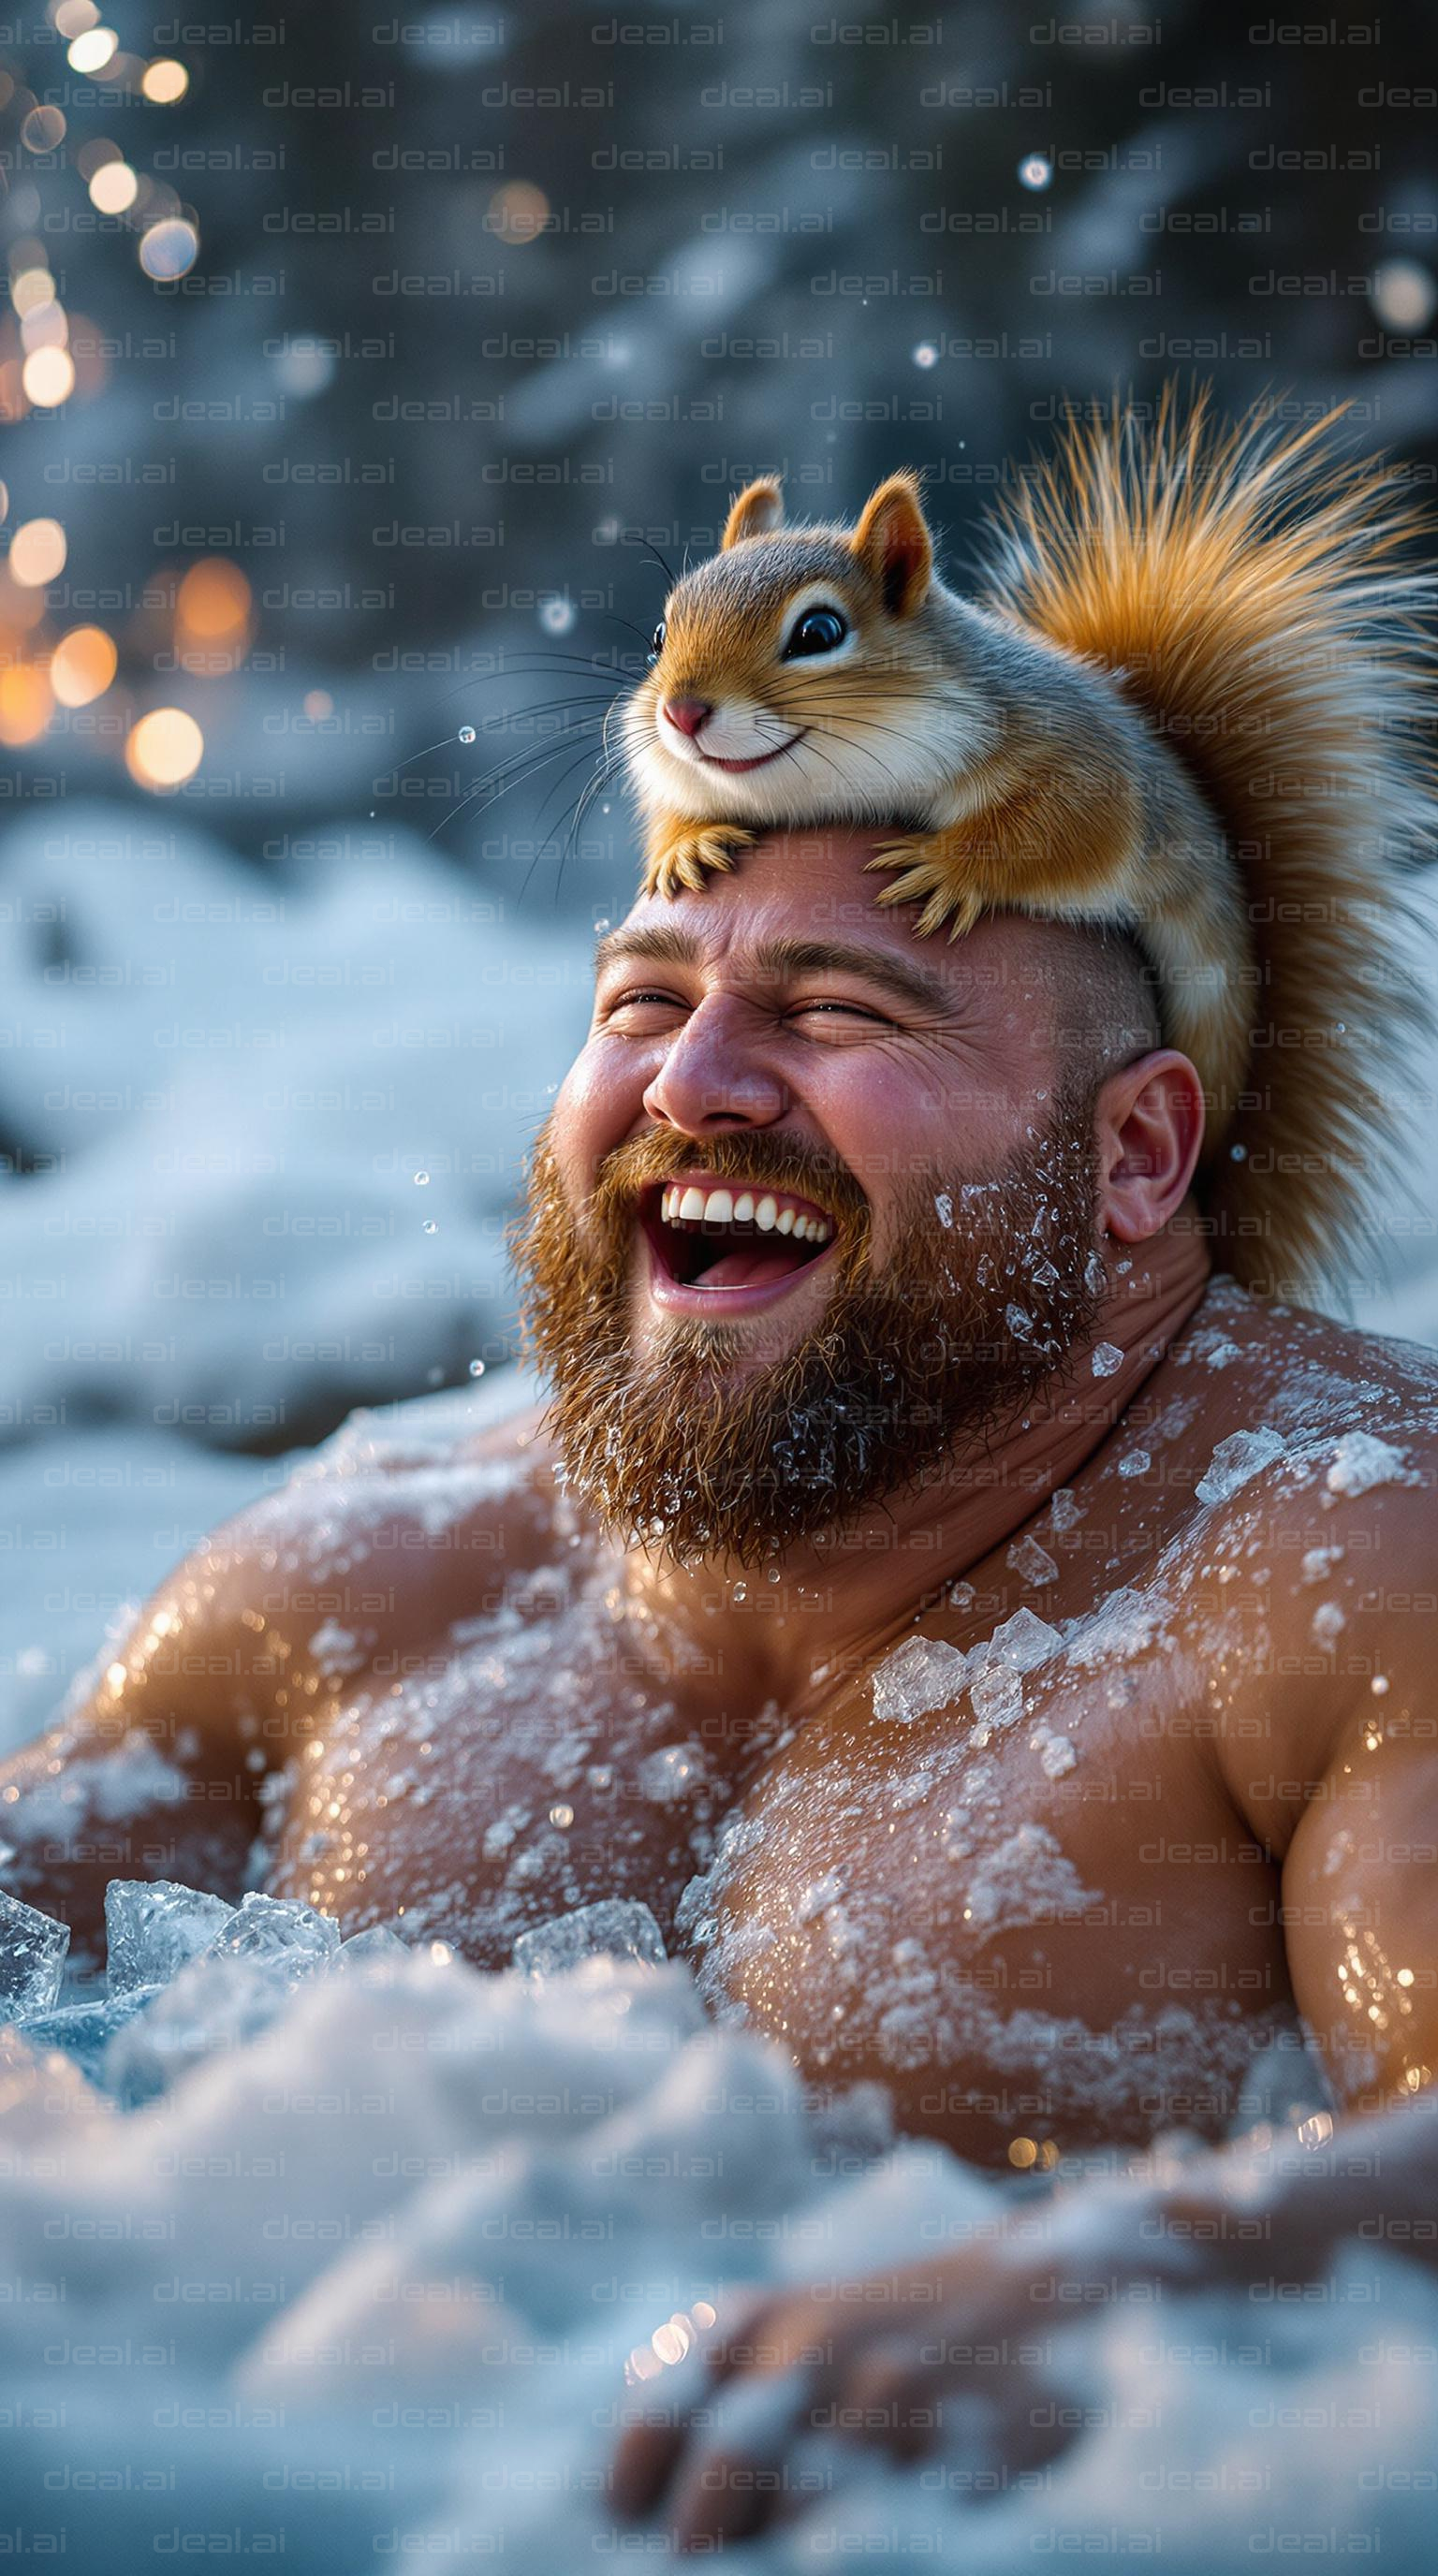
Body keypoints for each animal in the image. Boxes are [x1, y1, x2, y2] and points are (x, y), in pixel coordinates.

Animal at [621, 384, 1438, 1298]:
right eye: (659, 637)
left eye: (819, 632)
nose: (681, 712)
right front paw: (685, 845)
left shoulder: (1072, 756)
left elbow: (1075, 828)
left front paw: (946, 868)